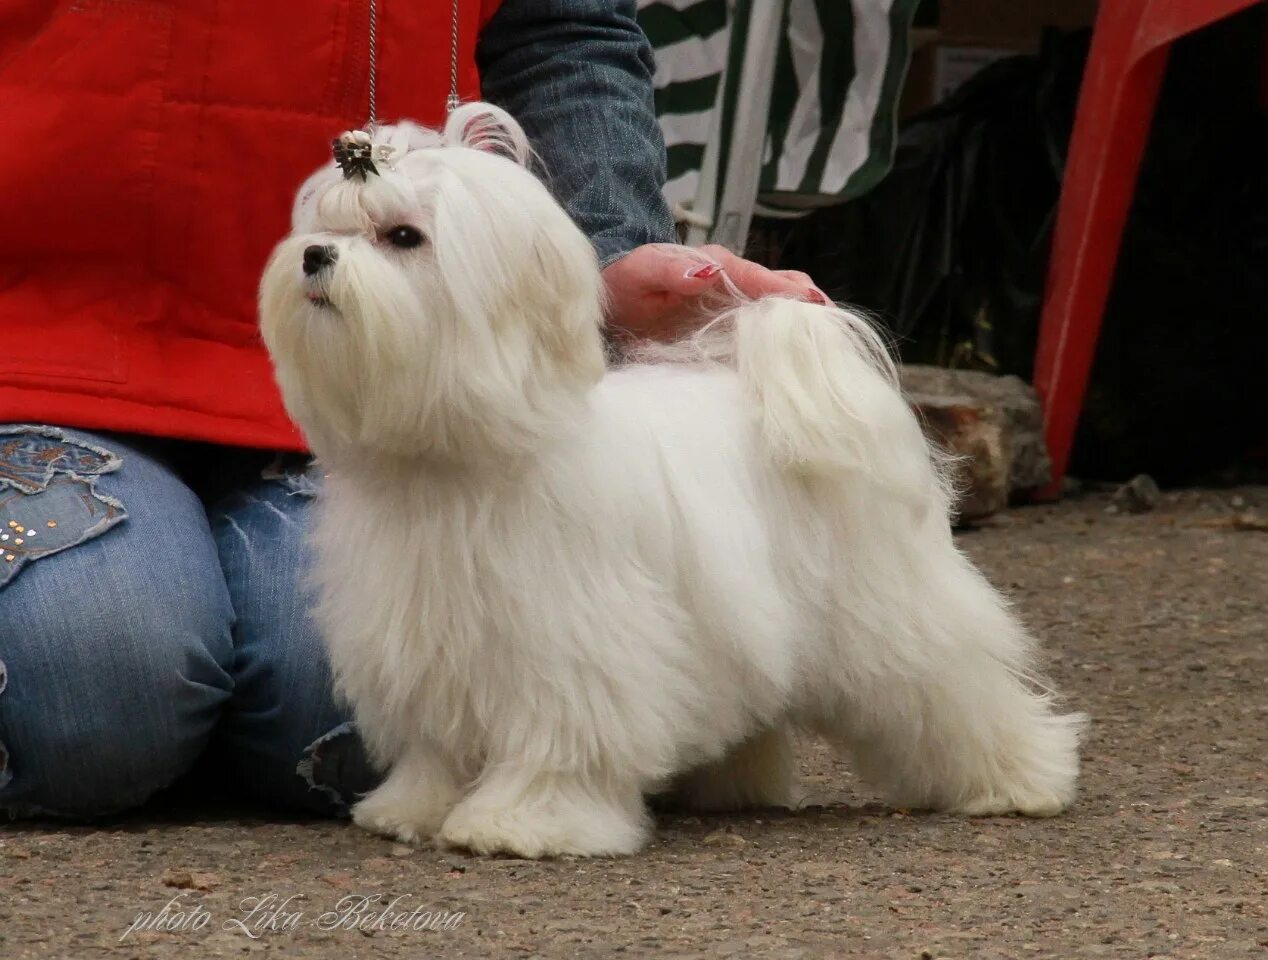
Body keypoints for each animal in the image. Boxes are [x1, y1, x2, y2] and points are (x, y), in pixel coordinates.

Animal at [259, 102, 1090, 852]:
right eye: (323, 227)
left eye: (402, 237)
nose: (314, 258)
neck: (463, 454)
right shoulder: (430, 640)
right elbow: (437, 746)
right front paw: (414, 807)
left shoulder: (574, 642)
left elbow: (564, 737)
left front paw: (525, 823)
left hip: (891, 607)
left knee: (956, 691)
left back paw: (1021, 778)